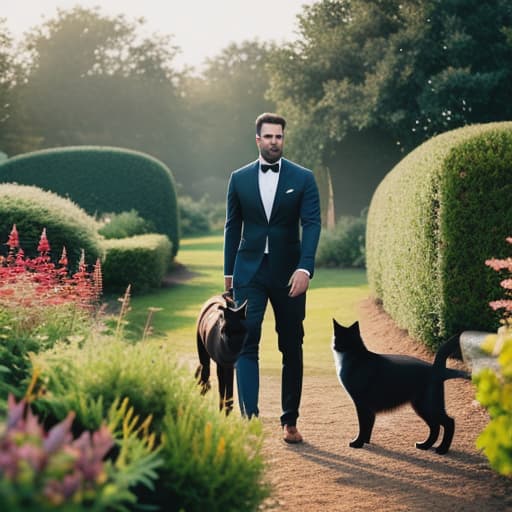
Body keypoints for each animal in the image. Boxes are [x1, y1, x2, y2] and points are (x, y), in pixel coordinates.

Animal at [330, 318, 470, 454]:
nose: (334, 346)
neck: (354, 354)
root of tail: (436, 368)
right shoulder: (368, 408)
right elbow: (369, 425)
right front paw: (366, 442)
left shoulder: (361, 404)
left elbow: (363, 425)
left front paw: (357, 443)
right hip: (422, 406)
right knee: (435, 427)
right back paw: (424, 446)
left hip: (427, 405)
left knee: (448, 423)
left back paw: (442, 449)